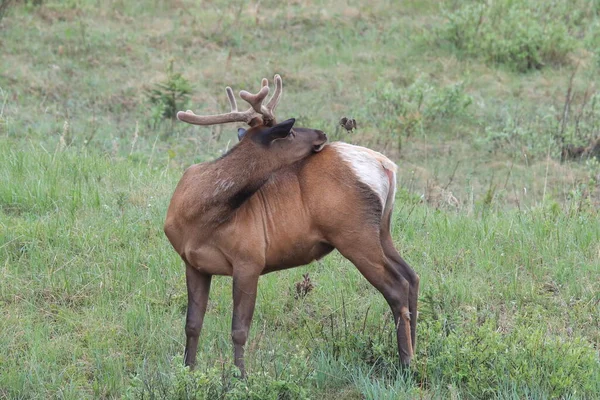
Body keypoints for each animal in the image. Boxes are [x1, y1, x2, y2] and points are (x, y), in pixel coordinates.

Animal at [162, 75, 420, 378]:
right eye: (290, 133)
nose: (321, 133)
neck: (199, 218)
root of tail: (386, 165)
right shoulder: (193, 263)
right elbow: (192, 324)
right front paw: (188, 371)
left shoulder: (250, 258)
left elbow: (239, 329)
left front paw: (241, 377)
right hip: (381, 229)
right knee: (411, 276)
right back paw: (415, 352)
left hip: (354, 234)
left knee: (397, 286)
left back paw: (406, 363)